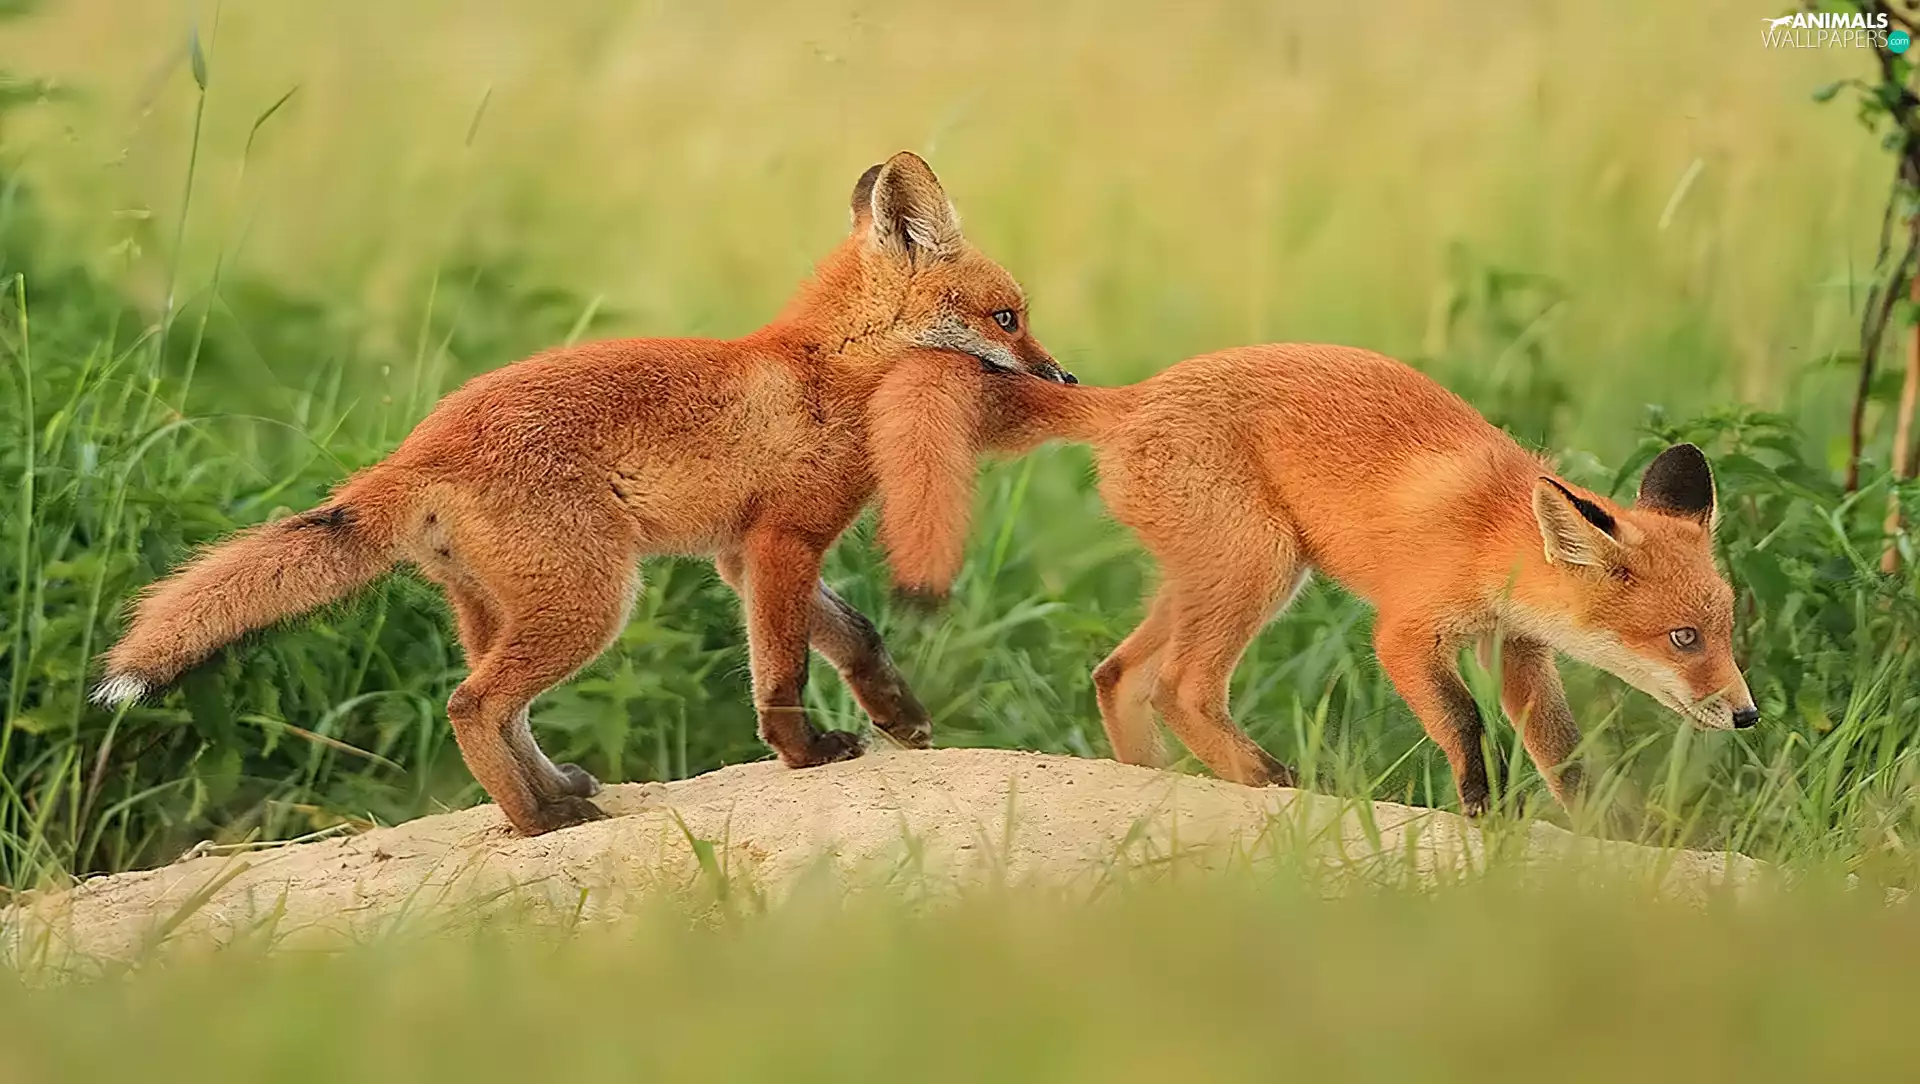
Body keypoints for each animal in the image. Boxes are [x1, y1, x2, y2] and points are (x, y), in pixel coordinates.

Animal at [92, 151, 1074, 836]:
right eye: (1008, 319)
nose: (1066, 378)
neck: (833, 372)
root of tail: (414, 449)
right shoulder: (781, 543)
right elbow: (785, 672)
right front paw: (806, 755)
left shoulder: (740, 554)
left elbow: (858, 636)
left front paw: (899, 717)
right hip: (593, 601)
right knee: (471, 705)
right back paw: (540, 821)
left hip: (513, 608)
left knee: (501, 708)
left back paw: (551, 791)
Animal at [872, 343, 1757, 816]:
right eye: (1684, 639)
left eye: (1726, 633)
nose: (1747, 714)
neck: (1492, 533)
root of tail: (1135, 396)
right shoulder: (1404, 632)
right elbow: (1464, 720)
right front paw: (1480, 805)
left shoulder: (1520, 650)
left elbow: (1562, 753)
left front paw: (1613, 831)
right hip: (1260, 567)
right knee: (1182, 687)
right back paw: (1271, 783)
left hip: (1210, 575)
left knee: (1117, 674)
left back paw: (1158, 781)